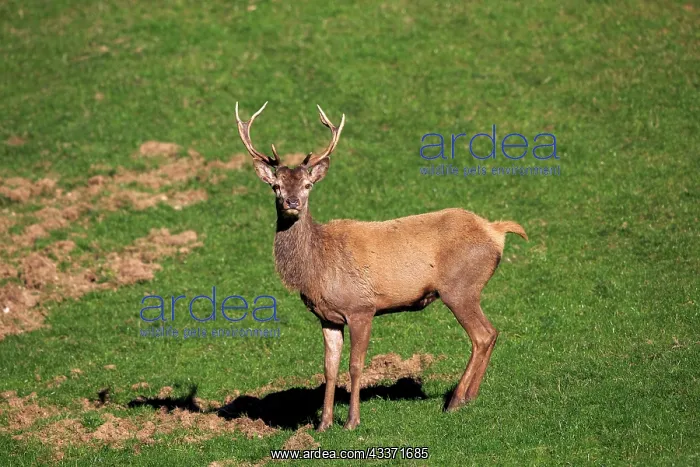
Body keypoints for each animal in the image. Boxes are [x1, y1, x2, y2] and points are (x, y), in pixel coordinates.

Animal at [235, 102, 528, 432]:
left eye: (308, 184)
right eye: (275, 186)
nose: (293, 202)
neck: (317, 268)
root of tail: (496, 231)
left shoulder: (362, 307)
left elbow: (355, 365)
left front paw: (352, 421)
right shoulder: (327, 317)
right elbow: (329, 369)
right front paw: (323, 424)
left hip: (461, 287)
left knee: (483, 334)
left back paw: (456, 401)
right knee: (489, 334)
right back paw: (468, 397)